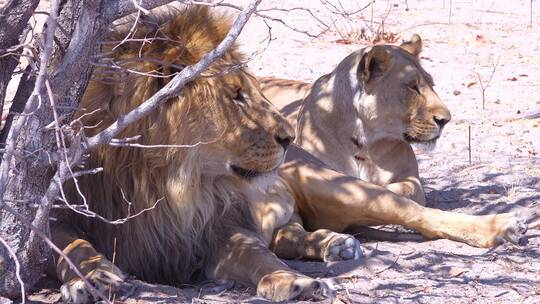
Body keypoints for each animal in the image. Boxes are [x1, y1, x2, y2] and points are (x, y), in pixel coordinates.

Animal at [50, 7, 358, 304]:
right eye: (236, 95)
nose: (289, 137)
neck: (162, 180)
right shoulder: (59, 211)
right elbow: (70, 245)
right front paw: (94, 277)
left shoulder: (208, 230)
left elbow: (255, 253)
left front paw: (292, 279)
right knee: (285, 233)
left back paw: (338, 244)